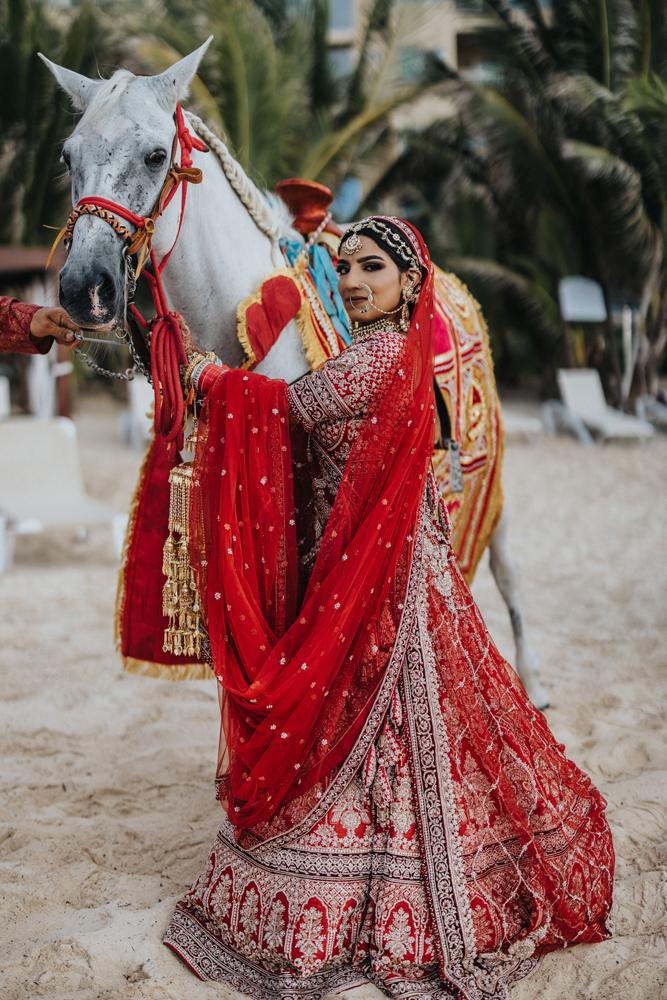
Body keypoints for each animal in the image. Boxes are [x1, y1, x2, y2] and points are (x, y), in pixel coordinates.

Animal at [43, 41, 552, 712]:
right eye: (68, 155)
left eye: (155, 155)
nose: (85, 288)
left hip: (488, 464)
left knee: (508, 567)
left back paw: (532, 681)